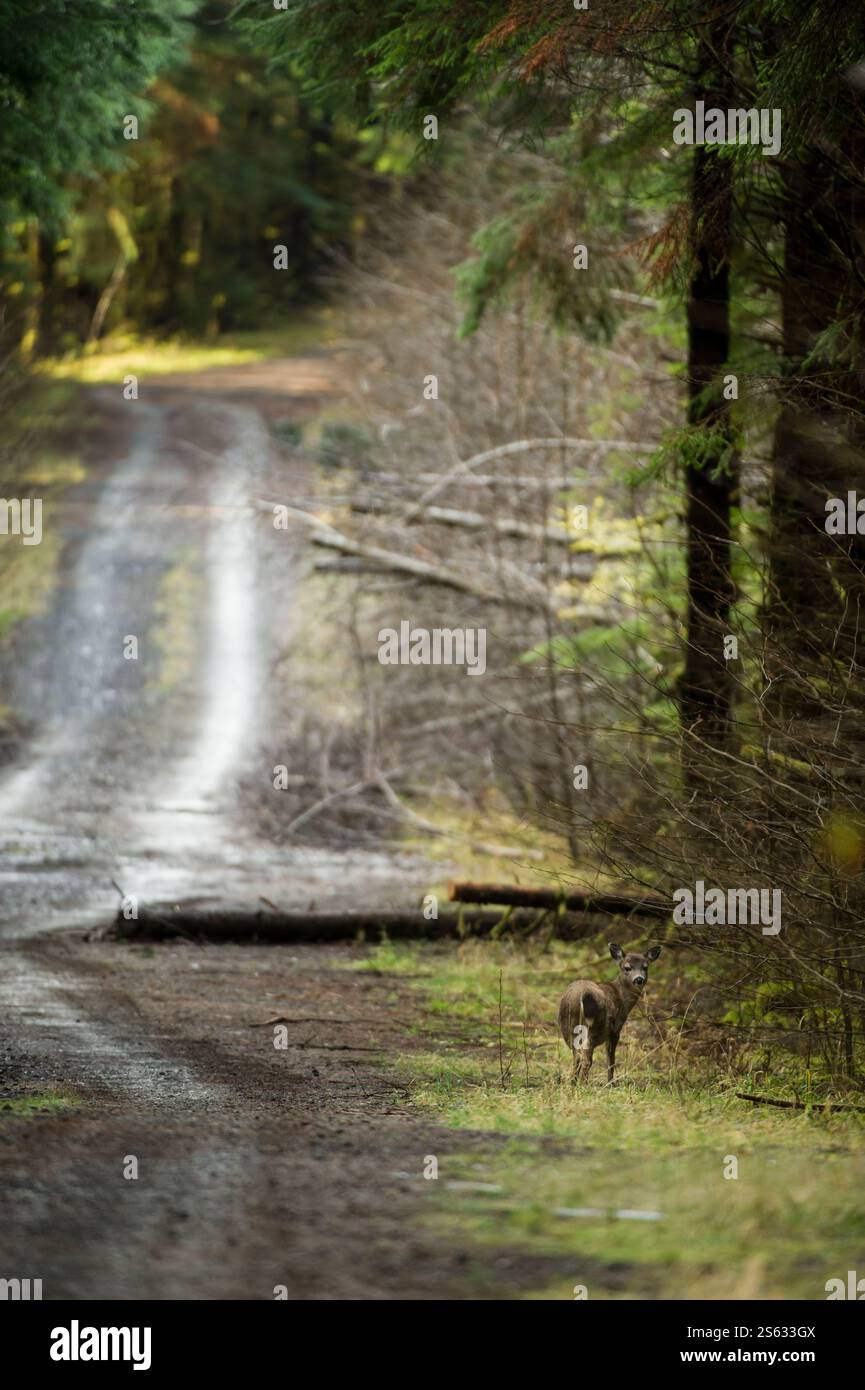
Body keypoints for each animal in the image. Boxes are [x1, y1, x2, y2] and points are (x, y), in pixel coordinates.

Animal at [559, 941, 661, 1085]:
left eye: (645, 967)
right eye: (627, 968)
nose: (639, 979)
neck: (621, 998)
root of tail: (580, 996)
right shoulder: (614, 1030)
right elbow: (611, 1059)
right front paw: (611, 1083)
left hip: (568, 1026)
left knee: (576, 1055)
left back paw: (574, 1082)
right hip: (595, 1024)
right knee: (585, 1056)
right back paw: (584, 1084)